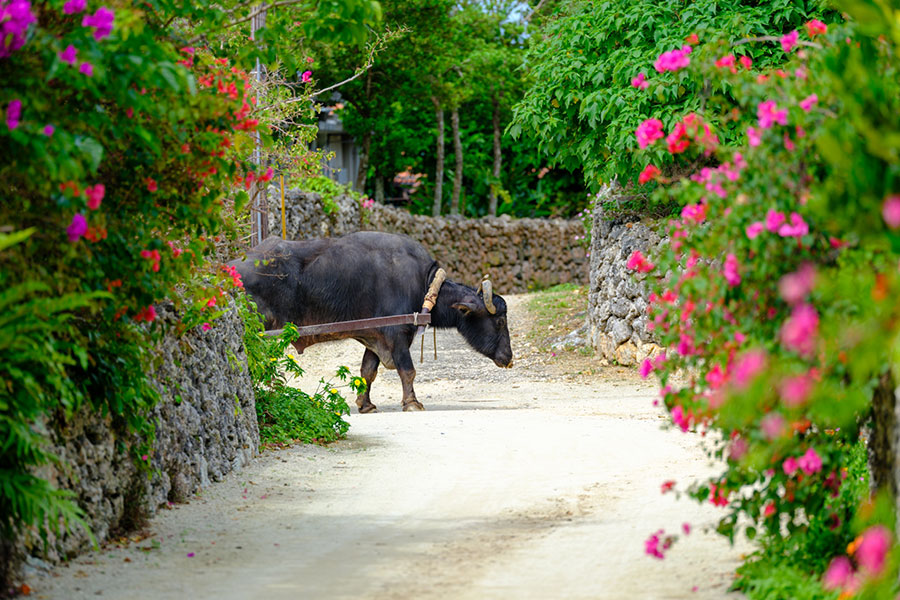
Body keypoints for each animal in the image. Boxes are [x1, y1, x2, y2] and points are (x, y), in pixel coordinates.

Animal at [229, 231, 512, 412]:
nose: (508, 357)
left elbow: (367, 372)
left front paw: (365, 405)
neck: (421, 286)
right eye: (499, 321)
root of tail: (232, 269)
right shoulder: (397, 336)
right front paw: (412, 403)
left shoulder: (375, 338)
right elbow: (408, 371)